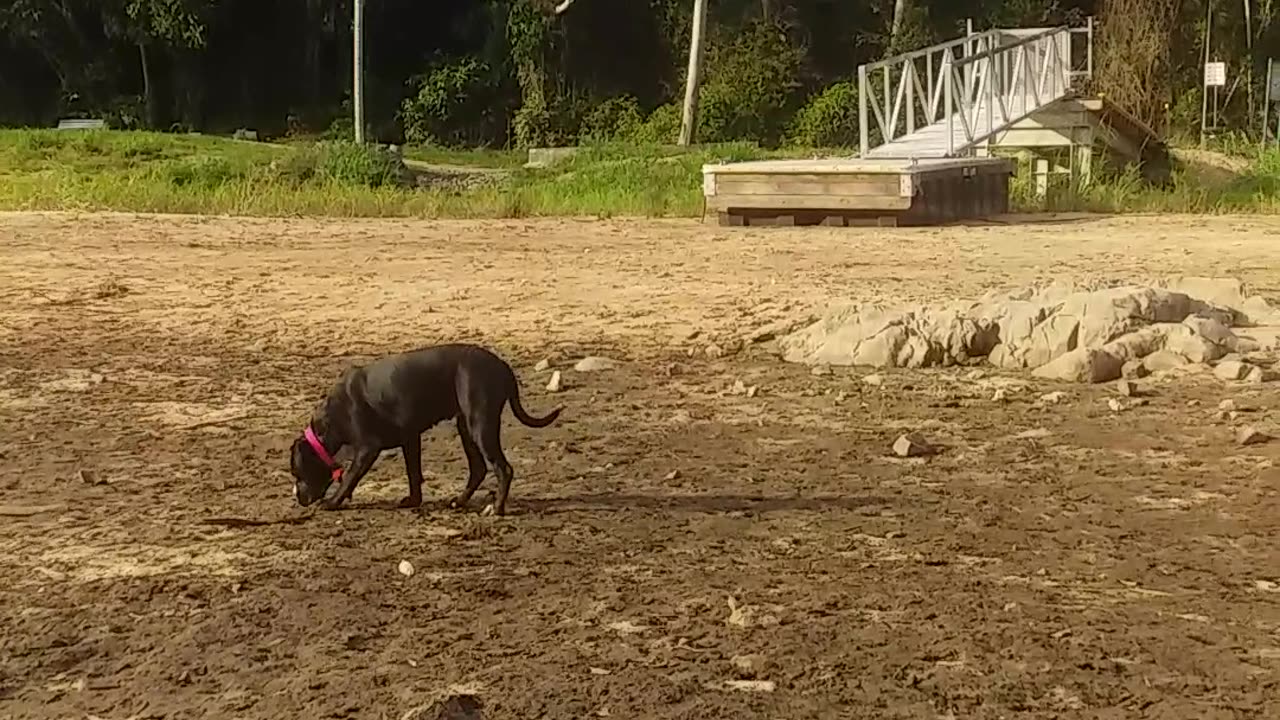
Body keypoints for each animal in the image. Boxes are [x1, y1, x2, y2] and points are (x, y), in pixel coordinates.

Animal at [294, 340, 565, 509]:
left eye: (297, 472)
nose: (298, 498)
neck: (329, 421)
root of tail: (502, 365)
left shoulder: (368, 448)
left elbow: (350, 477)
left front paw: (333, 502)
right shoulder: (410, 439)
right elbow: (413, 473)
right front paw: (414, 500)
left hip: (480, 425)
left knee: (503, 468)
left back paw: (496, 508)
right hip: (466, 427)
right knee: (478, 469)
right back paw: (460, 501)